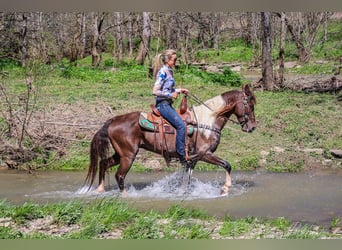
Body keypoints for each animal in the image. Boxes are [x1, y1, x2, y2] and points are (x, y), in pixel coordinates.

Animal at [83, 83, 256, 195]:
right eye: (251, 105)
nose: (252, 127)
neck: (208, 120)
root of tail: (113, 120)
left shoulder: (192, 159)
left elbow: (186, 180)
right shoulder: (204, 154)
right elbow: (227, 164)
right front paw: (225, 188)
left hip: (120, 154)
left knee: (104, 163)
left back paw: (99, 189)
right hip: (128, 155)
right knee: (119, 175)